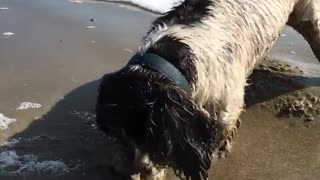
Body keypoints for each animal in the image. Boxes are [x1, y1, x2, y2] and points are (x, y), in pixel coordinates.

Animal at [95, 0, 320, 179]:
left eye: (153, 137)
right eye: (116, 133)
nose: (119, 171)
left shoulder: (227, 107)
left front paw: (219, 152)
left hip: (310, 18)